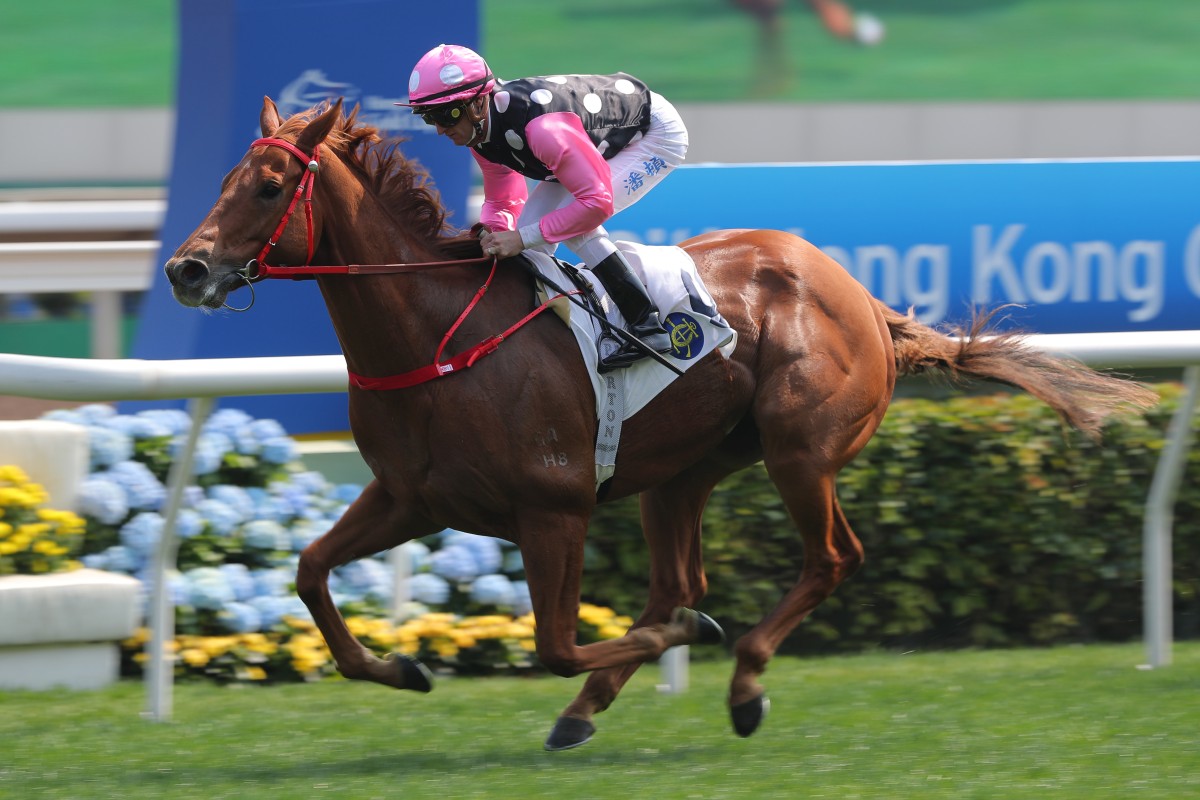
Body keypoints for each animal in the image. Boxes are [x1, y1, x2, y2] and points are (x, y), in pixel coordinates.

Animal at [164, 98, 1156, 753]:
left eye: (269, 185)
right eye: (225, 179)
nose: (185, 269)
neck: (436, 332)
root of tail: (864, 300)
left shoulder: (553, 507)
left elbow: (556, 643)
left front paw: (692, 640)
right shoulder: (410, 496)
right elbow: (310, 572)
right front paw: (404, 669)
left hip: (800, 449)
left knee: (830, 559)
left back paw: (742, 677)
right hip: (681, 471)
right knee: (678, 578)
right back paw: (596, 707)